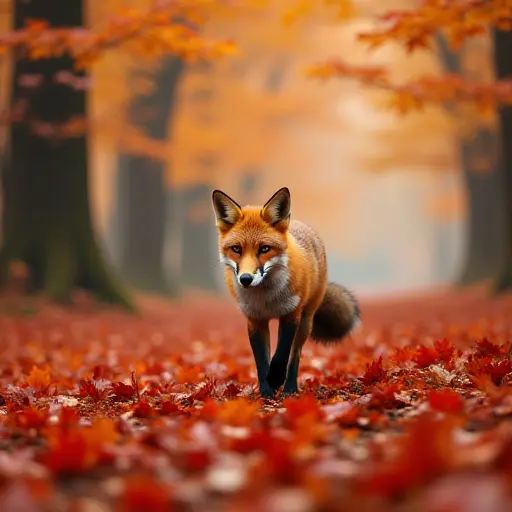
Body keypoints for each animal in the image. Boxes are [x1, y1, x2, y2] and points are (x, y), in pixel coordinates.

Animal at [210, 186, 358, 398]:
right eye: (236, 249)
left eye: (264, 249)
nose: (245, 279)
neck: (266, 299)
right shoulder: (255, 320)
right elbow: (261, 361)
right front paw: (266, 391)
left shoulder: (291, 314)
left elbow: (281, 354)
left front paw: (275, 379)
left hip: (306, 321)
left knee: (295, 356)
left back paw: (289, 388)